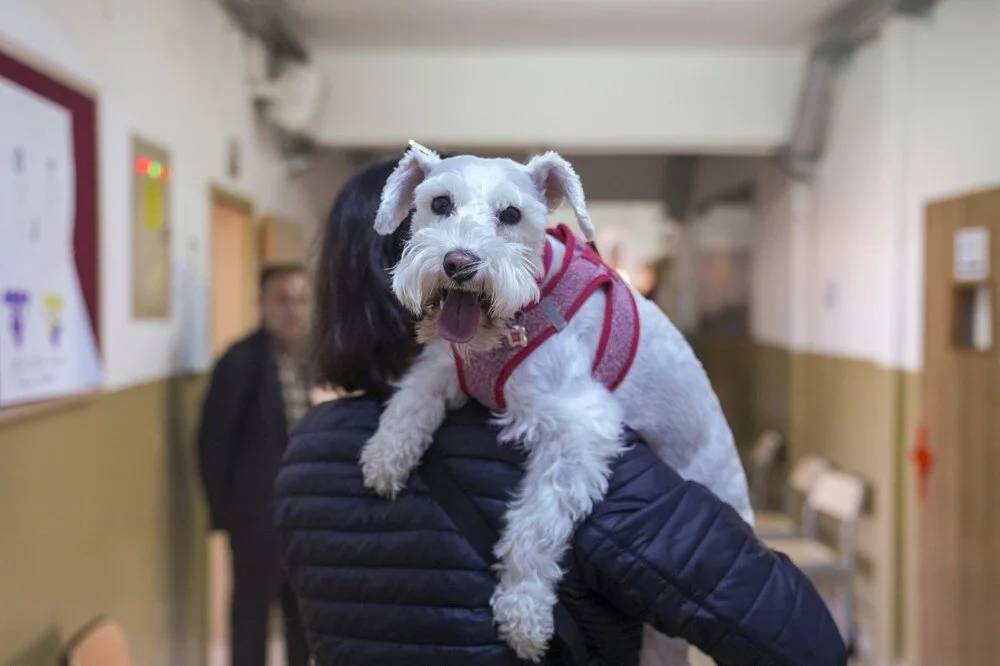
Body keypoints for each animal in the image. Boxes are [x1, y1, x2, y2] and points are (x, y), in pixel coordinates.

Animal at [360, 141, 752, 660]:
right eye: (439, 203)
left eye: (511, 214)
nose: (459, 263)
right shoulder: (449, 366)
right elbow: (414, 394)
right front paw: (386, 455)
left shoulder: (580, 430)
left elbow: (533, 526)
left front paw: (522, 613)